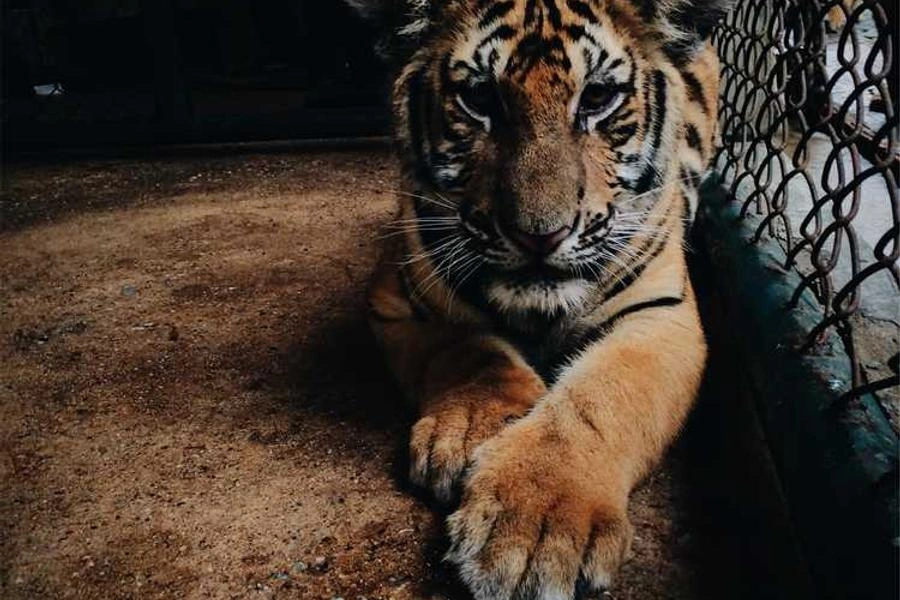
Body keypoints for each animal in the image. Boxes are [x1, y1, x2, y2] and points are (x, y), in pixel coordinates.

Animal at [347, 0, 729, 598]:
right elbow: (465, 349)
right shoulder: (397, 293)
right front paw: (476, 428)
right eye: (479, 98)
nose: (539, 236)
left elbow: (603, 398)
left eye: (597, 98)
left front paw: (535, 528)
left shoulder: (661, 314)